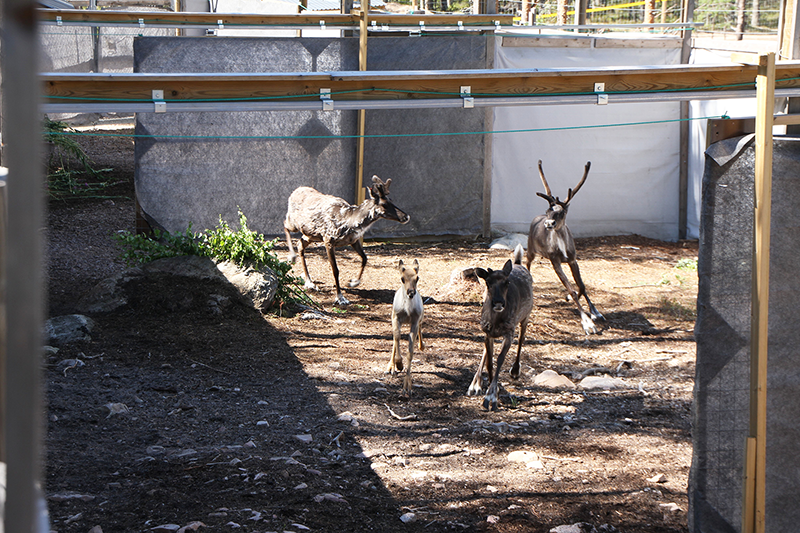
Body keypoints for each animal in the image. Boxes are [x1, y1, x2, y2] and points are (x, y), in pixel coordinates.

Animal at [388, 258, 424, 394]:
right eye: (402, 278)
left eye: (417, 278)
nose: (411, 292)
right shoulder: (396, 317)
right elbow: (397, 337)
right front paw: (398, 364)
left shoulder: (414, 321)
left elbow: (410, 352)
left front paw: (407, 386)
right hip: (393, 316)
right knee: (394, 338)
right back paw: (391, 367)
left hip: (419, 317)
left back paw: (422, 345)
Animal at [466, 243, 536, 410]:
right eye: (488, 282)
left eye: (507, 282)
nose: (498, 303)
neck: (496, 321)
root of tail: (518, 263)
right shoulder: (487, 333)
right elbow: (489, 362)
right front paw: (492, 389)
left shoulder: (509, 332)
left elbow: (499, 360)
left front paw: (491, 396)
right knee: (485, 353)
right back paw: (475, 384)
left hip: (526, 316)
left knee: (522, 338)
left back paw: (515, 370)